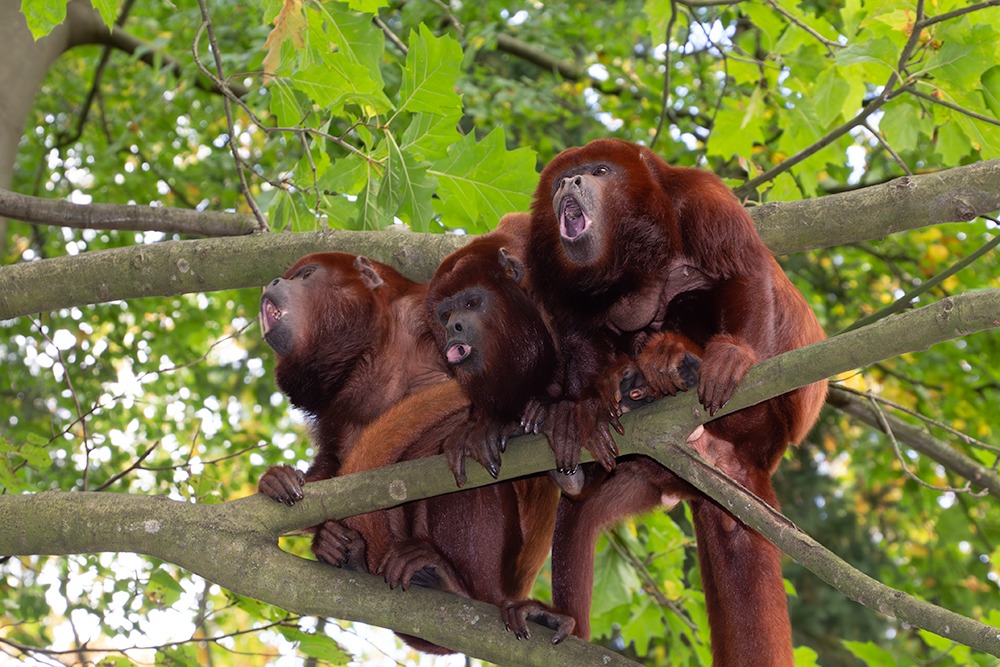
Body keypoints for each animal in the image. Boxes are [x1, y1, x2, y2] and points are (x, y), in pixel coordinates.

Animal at [528, 138, 824, 664]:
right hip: (643, 475)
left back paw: (678, 364)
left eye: (599, 171)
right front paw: (584, 406)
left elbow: (743, 269)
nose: (569, 183)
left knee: (696, 288)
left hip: (765, 420)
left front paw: (733, 354)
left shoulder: (706, 199)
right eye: (563, 177)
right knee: (580, 510)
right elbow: (577, 333)